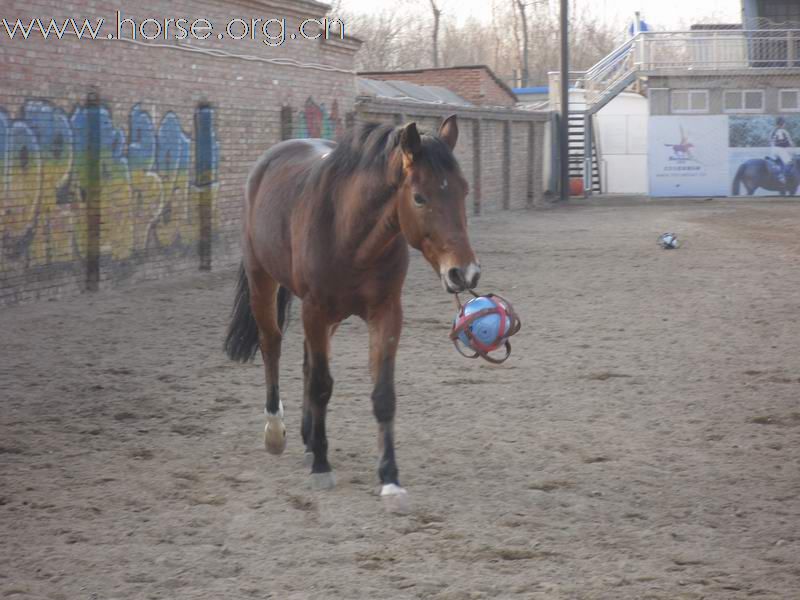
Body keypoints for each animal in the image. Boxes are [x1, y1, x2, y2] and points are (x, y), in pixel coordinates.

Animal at [222, 116, 478, 510]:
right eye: (419, 197)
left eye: (463, 191)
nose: (463, 273)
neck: (350, 233)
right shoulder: (315, 309)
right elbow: (321, 386)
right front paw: (322, 467)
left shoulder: (387, 313)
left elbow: (382, 394)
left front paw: (389, 477)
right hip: (262, 282)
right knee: (272, 347)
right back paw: (277, 432)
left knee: (306, 363)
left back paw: (308, 440)